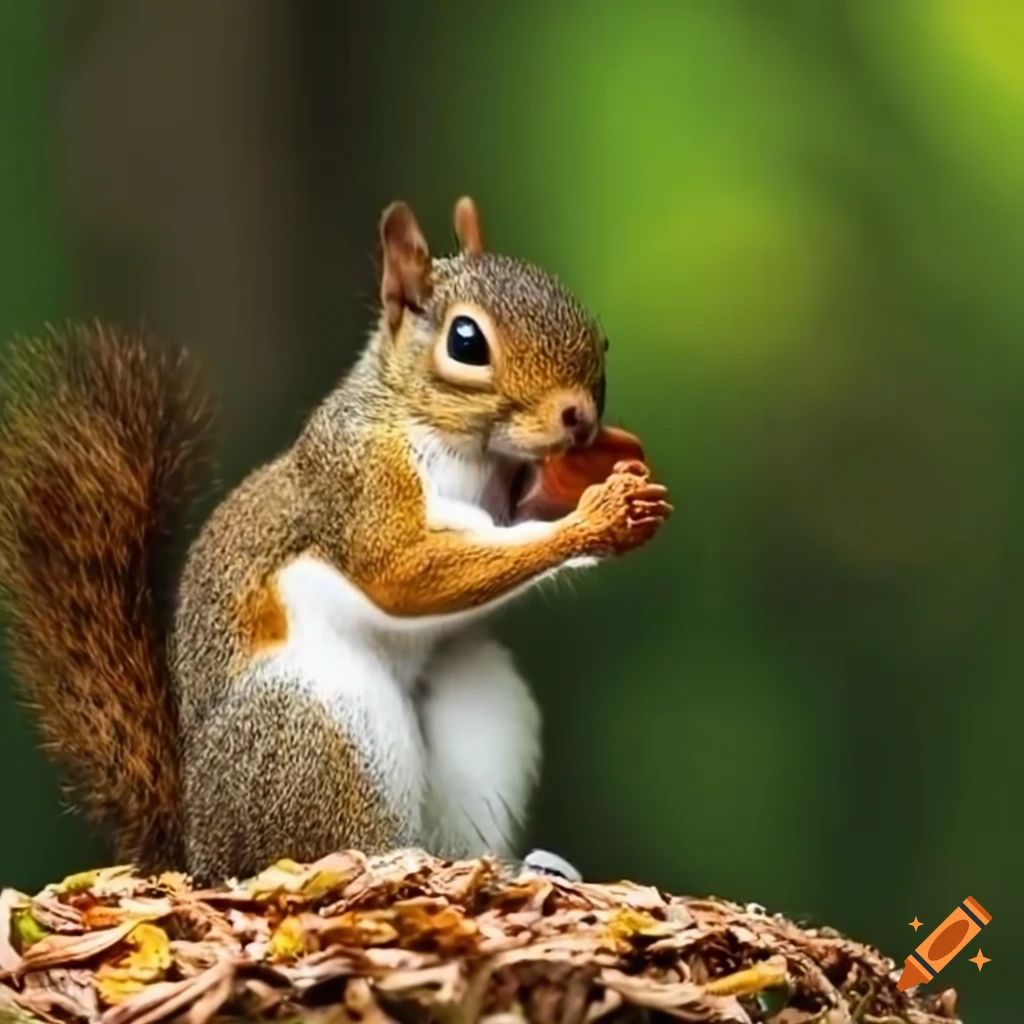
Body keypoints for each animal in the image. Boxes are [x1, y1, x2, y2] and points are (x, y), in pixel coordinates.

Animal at [0, 197, 672, 883]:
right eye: (466, 342)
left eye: (601, 337)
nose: (580, 419)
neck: (464, 448)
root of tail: (199, 853)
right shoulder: (359, 475)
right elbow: (400, 567)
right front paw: (599, 517)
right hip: (313, 724)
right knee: (337, 841)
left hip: (478, 709)